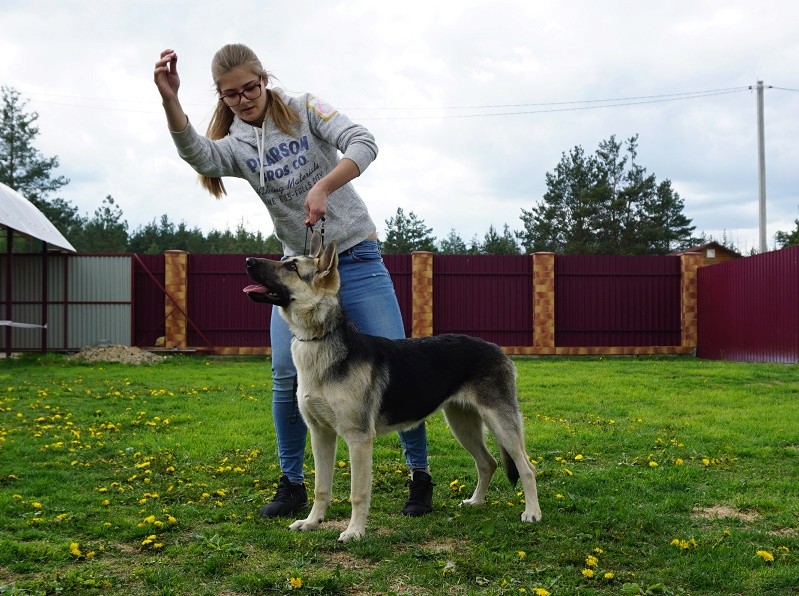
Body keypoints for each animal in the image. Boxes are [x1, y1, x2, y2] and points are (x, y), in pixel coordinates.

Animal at [245, 232, 544, 540]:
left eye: (292, 267)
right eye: (287, 261)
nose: (248, 260)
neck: (319, 340)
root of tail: (498, 349)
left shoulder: (358, 439)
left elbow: (358, 493)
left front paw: (355, 531)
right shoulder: (321, 435)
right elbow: (321, 488)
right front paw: (312, 522)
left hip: (499, 422)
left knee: (527, 467)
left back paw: (532, 513)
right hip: (462, 425)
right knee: (488, 463)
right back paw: (476, 502)